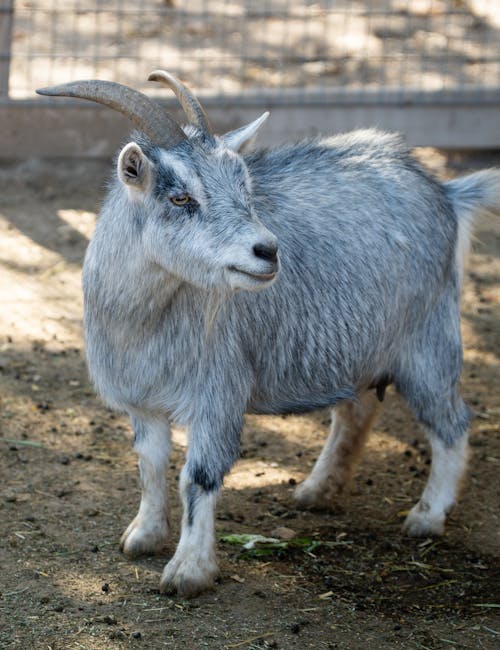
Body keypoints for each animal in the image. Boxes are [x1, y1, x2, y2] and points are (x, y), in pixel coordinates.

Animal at [37, 72, 500, 596]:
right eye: (181, 198)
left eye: (246, 187)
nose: (268, 251)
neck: (142, 322)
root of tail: (446, 191)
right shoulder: (142, 400)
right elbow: (150, 466)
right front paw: (144, 536)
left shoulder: (217, 391)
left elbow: (196, 476)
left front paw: (189, 571)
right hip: (358, 347)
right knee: (357, 411)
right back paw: (318, 490)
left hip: (428, 342)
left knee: (452, 424)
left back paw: (427, 516)